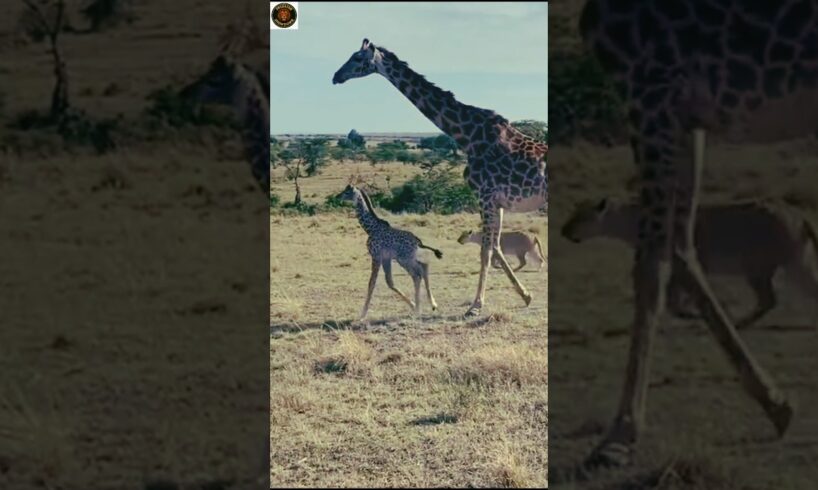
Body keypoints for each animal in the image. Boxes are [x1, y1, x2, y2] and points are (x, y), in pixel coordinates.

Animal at [337, 184, 442, 319]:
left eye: (347, 192)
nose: (337, 197)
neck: (371, 229)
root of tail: (418, 242)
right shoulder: (386, 258)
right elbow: (390, 282)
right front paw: (412, 304)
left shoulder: (376, 256)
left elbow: (371, 283)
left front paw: (362, 314)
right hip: (406, 258)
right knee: (423, 268)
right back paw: (429, 305)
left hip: (404, 259)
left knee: (417, 274)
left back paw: (420, 309)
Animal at [578, 0, 818, 469]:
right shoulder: (689, 113)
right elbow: (683, 248)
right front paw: (776, 405)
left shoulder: (649, 90)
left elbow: (651, 267)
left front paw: (620, 435)